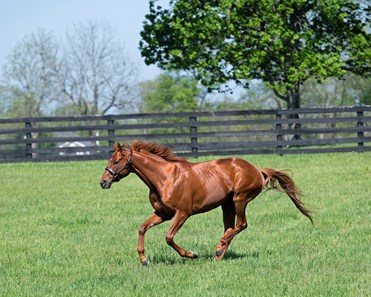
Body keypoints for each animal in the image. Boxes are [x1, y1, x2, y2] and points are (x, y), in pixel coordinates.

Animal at [100, 140, 312, 264]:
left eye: (116, 161)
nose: (103, 182)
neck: (165, 178)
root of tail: (257, 170)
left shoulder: (182, 213)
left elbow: (169, 237)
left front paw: (191, 254)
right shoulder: (163, 214)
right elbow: (142, 228)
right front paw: (144, 259)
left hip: (240, 199)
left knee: (241, 225)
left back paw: (218, 247)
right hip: (227, 204)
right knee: (230, 228)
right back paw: (219, 254)